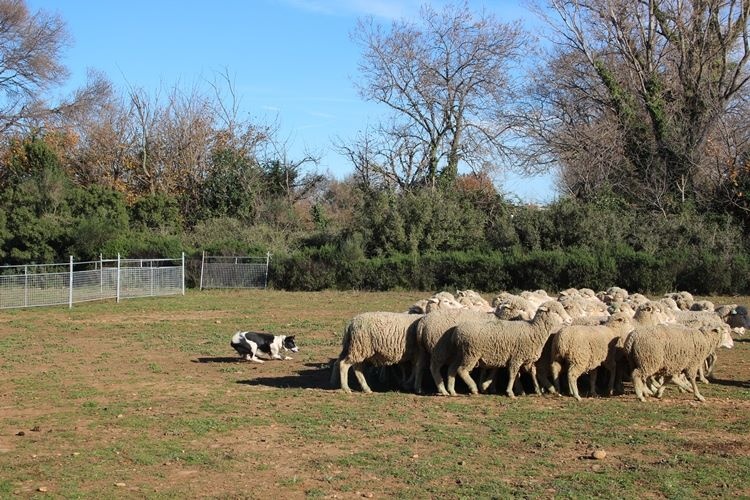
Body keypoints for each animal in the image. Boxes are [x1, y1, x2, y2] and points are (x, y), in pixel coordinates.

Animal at [444, 298, 572, 400]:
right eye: (556, 312)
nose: (570, 320)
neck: (534, 330)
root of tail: (457, 332)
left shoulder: (526, 359)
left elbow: (533, 372)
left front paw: (538, 390)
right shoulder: (516, 357)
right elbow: (512, 375)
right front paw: (510, 392)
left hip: (461, 353)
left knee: (452, 369)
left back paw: (452, 391)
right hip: (471, 354)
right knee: (462, 370)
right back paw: (473, 388)